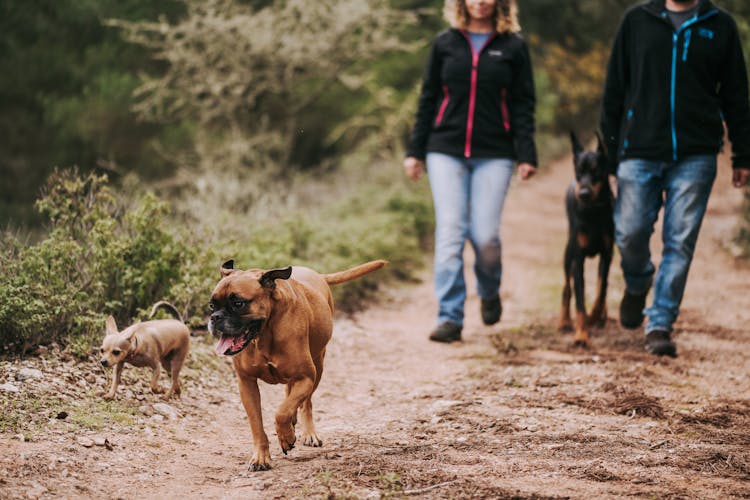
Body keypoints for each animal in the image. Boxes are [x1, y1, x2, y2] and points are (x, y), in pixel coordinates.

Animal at [210, 260, 388, 470]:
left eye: (238, 303)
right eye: (211, 305)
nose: (215, 317)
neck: (265, 333)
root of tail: (318, 275)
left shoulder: (305, 377)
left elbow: (282, 412)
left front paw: (286, 437)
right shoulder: (247, 384)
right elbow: (257, 424)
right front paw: (261, 457)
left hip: (318, 368)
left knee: (305, 403)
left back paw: (307, 433)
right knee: (291, 395)